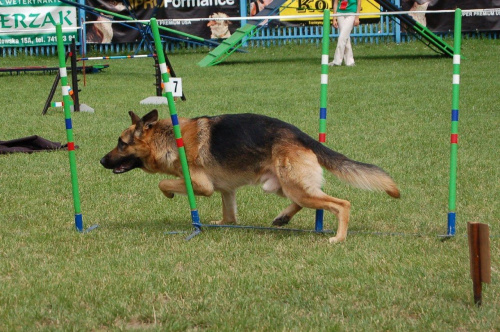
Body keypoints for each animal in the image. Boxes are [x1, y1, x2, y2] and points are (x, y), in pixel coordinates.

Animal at [100, 110, 398, 243]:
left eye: (121, 144)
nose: (101, 160)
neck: (168, 138)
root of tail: (301, 136)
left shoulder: (202, 186)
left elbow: (164, 182)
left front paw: (170, 193)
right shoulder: (226, 190)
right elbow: (229, 216)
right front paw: (222, 224)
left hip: (295, 186)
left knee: (341, 204)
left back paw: (338, 237)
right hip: (281, 185)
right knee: (302, 201)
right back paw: (283, 217)